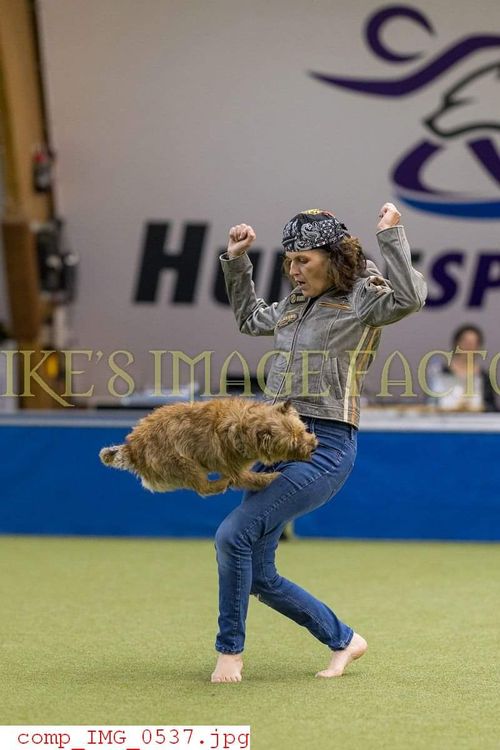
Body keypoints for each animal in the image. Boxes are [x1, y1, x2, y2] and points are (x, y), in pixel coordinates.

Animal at [98, 396, 316, 496]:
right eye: (293, 443)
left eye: (302, 430)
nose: (313, 446)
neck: (244, 424)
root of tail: (132, 448)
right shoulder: (233, 467)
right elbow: (248, 478)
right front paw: (271, 477)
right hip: (183, 463)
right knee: (203, 488)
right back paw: (222, 483)